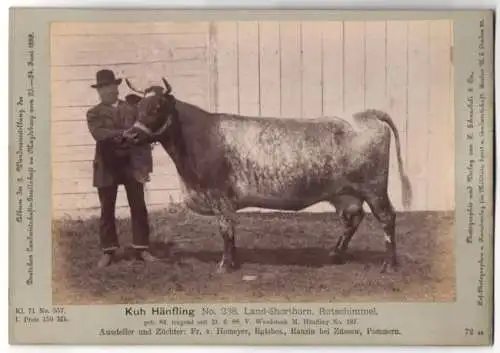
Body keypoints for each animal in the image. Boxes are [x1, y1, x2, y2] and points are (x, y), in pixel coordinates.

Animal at [123, 78, 412, 274]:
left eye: (157, 106)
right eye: (138, 108)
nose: (130, 136)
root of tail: (365, 114)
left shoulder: (220, 196)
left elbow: (225, 230)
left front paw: (225, 265)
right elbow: (231, 231)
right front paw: (233, 261)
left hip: (374, 187)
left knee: (387, 218)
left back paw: (389, 264)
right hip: (345, 193)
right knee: (353, 217)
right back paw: (335, 254)